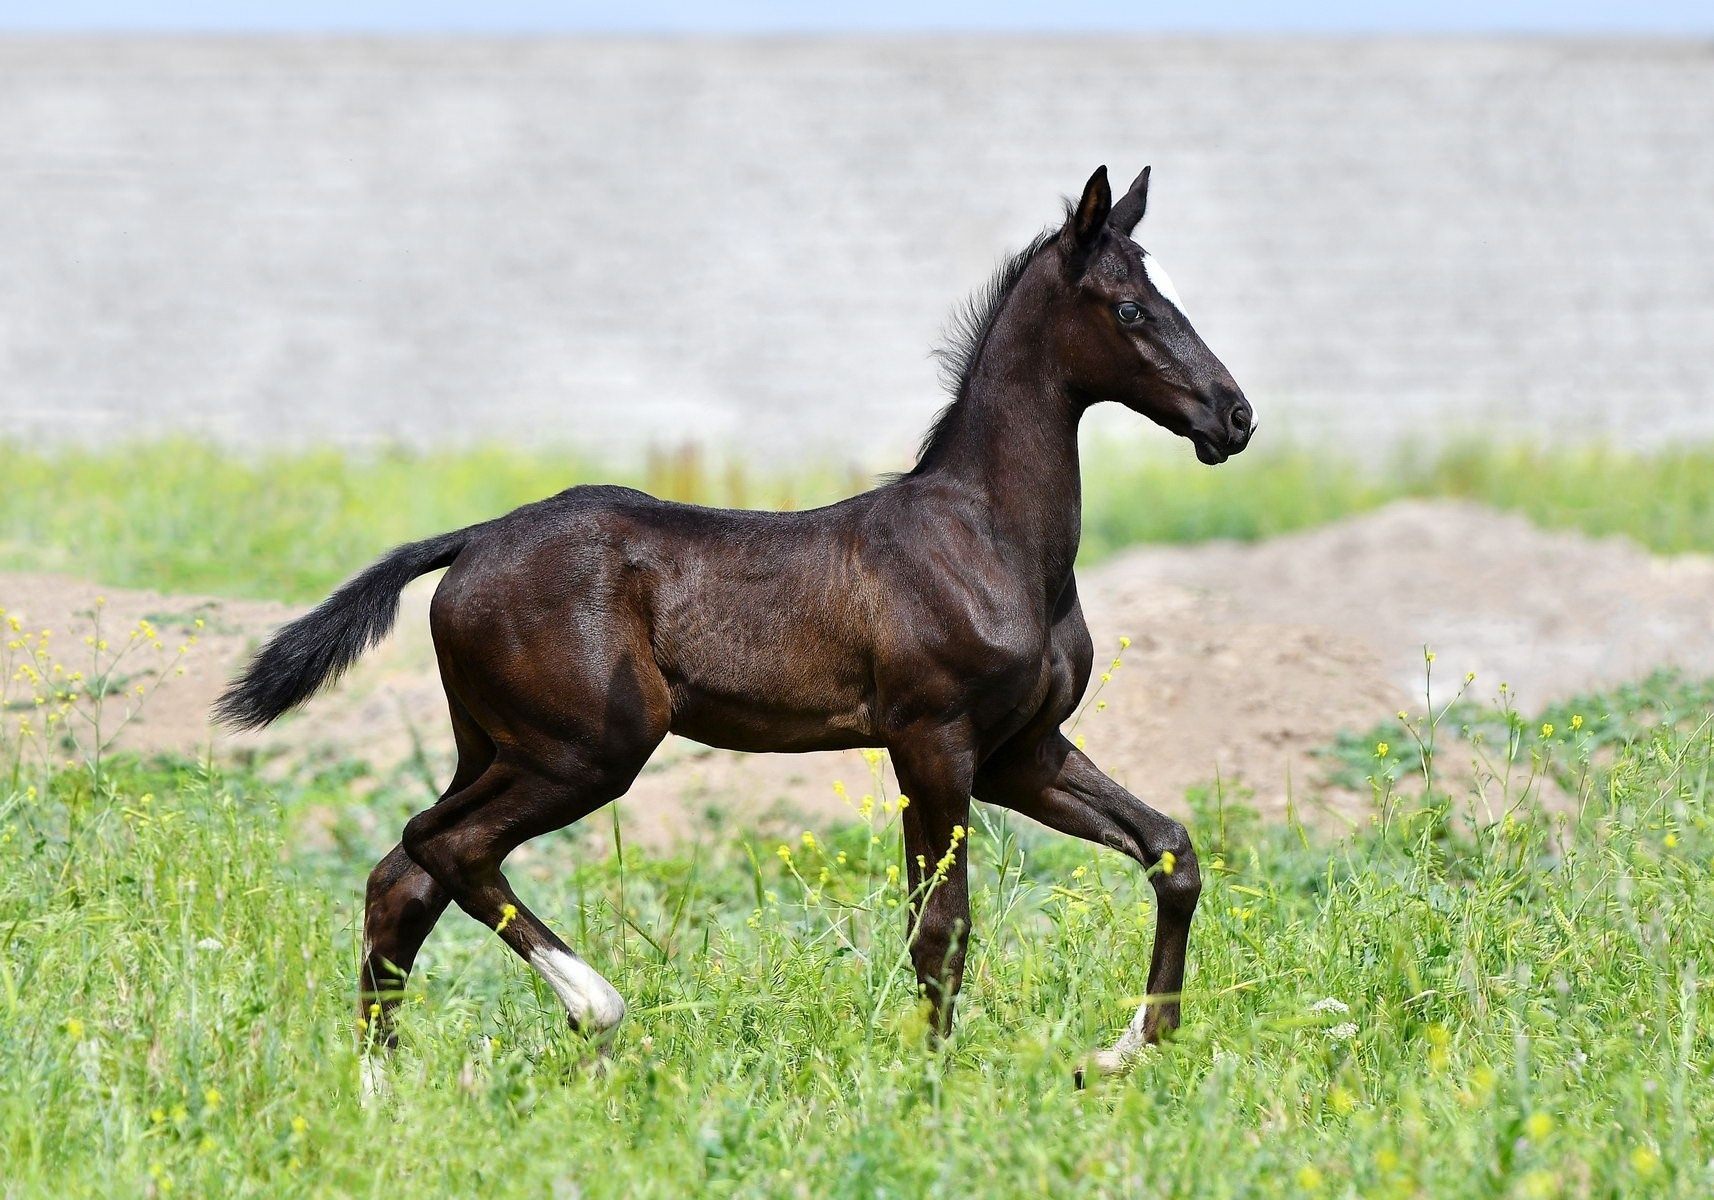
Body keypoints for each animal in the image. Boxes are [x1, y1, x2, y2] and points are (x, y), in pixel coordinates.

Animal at [217, 163, 1261, 1076]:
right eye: (1131, 309)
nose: (1235, 417)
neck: (990, 538)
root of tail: (471, 541)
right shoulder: (933, 743)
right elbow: (942, 929)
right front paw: (931, 1089)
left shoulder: (1021, 752)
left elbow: (1172, 851)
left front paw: (1127, 1050)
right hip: (586, 750)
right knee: (445, 847)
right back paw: (595, 1009)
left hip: (497, 745)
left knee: (402, 878)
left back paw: (382, 1091)